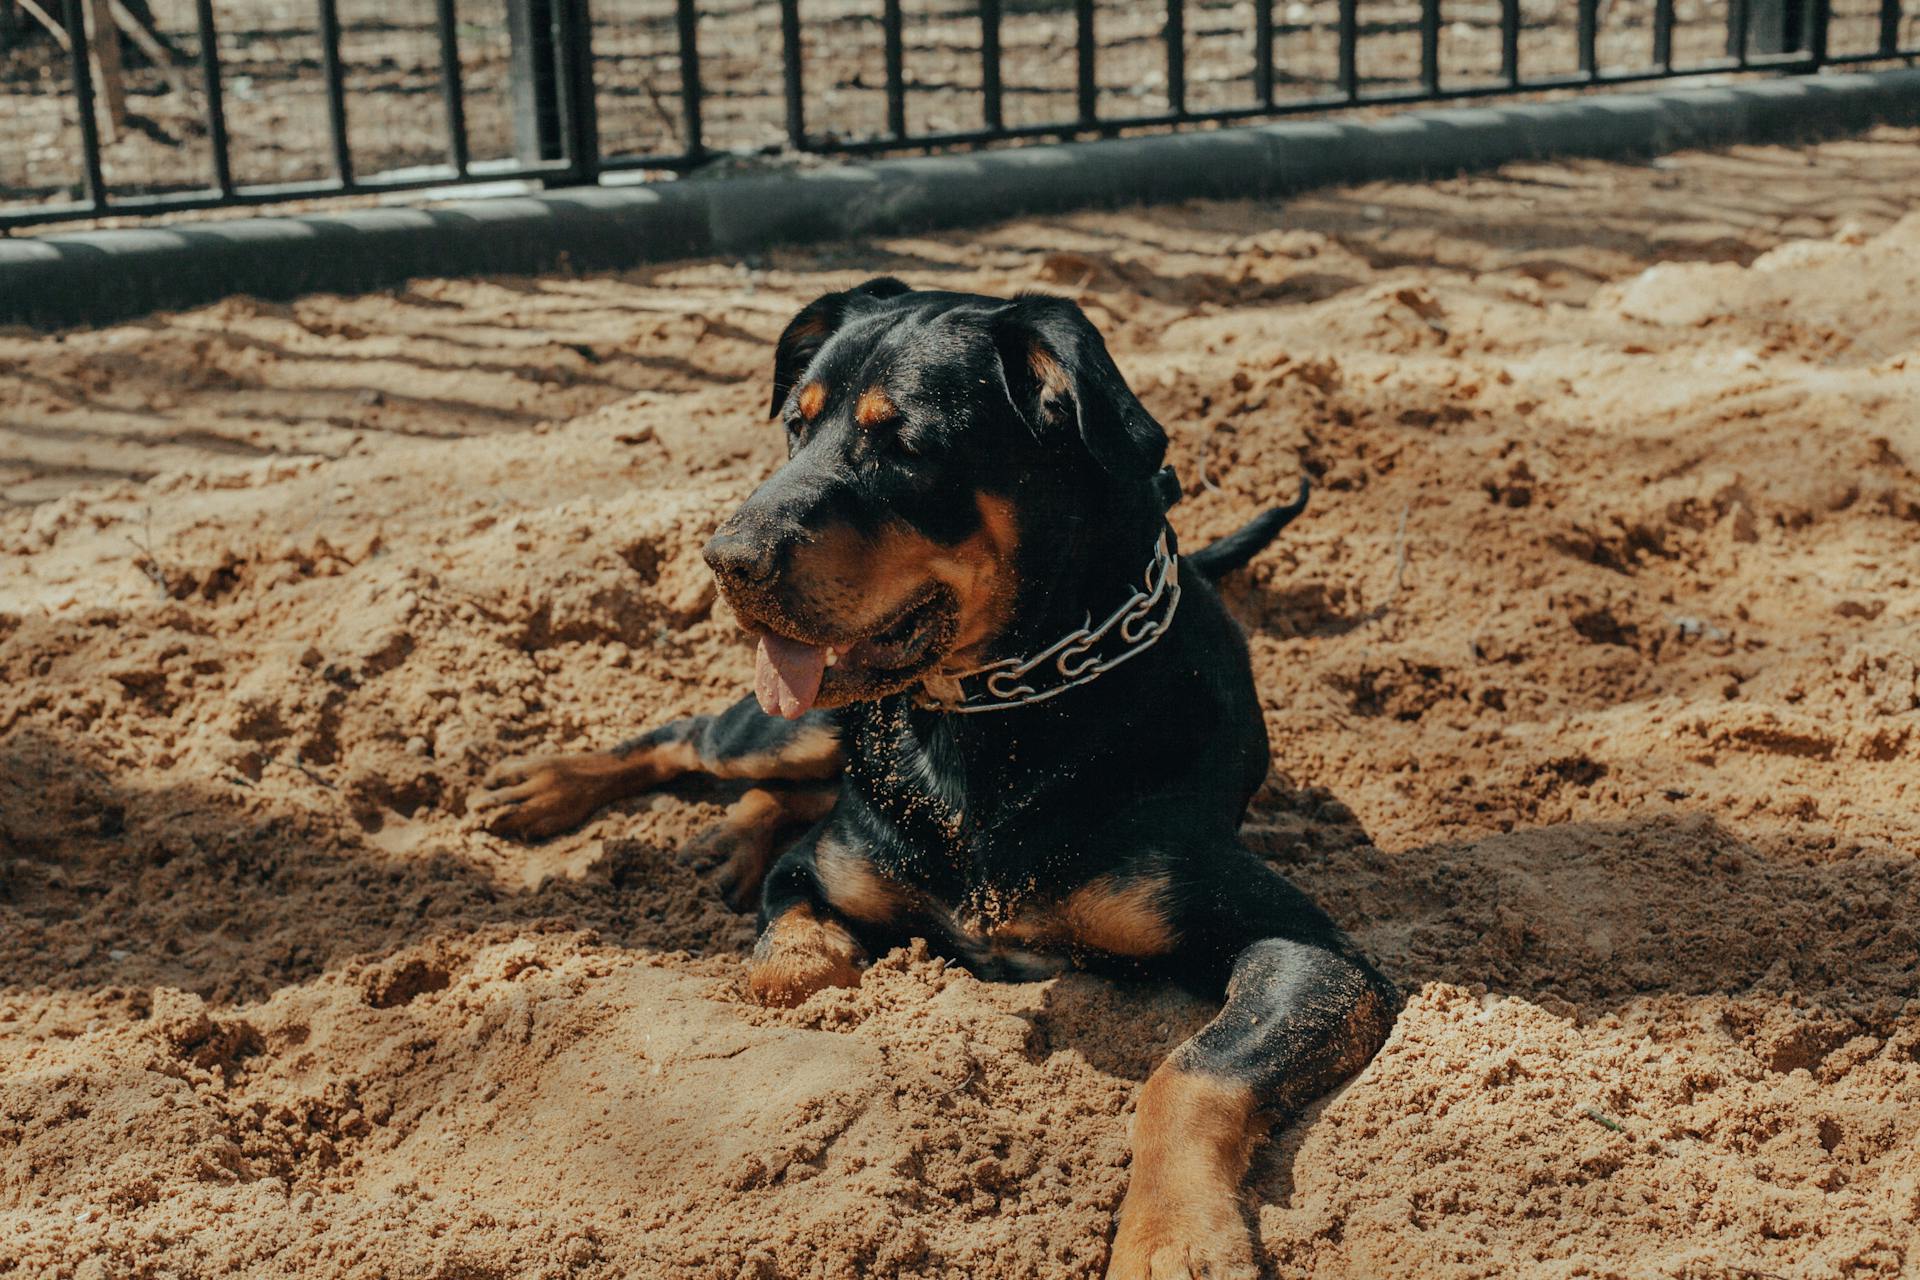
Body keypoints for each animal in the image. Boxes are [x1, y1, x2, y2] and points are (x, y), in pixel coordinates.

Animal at [472, 282, 1405, 1280]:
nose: (726, 559)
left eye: (906, 445)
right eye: (795, 426)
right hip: (787, 725)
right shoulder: (818, 869)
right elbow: (793, 969)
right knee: (697, 740)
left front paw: (1174, 1238)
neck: (995, 718)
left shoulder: (1316, 958)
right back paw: (554, 789)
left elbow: (1192, 1070)